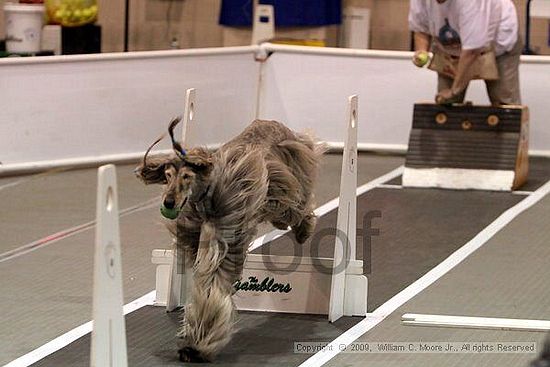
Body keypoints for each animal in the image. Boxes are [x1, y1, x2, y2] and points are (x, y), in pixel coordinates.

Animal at [135, 118, 324, 362]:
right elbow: (205, 281)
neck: (206, 197)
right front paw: (193, 342)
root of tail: (271, 121)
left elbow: (214, 283)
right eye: (167, 176)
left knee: (296, 205)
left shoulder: (228, 231)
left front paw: (199, 344)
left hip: (289, 170)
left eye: (186, 176)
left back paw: (303, 228)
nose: (168, 202)